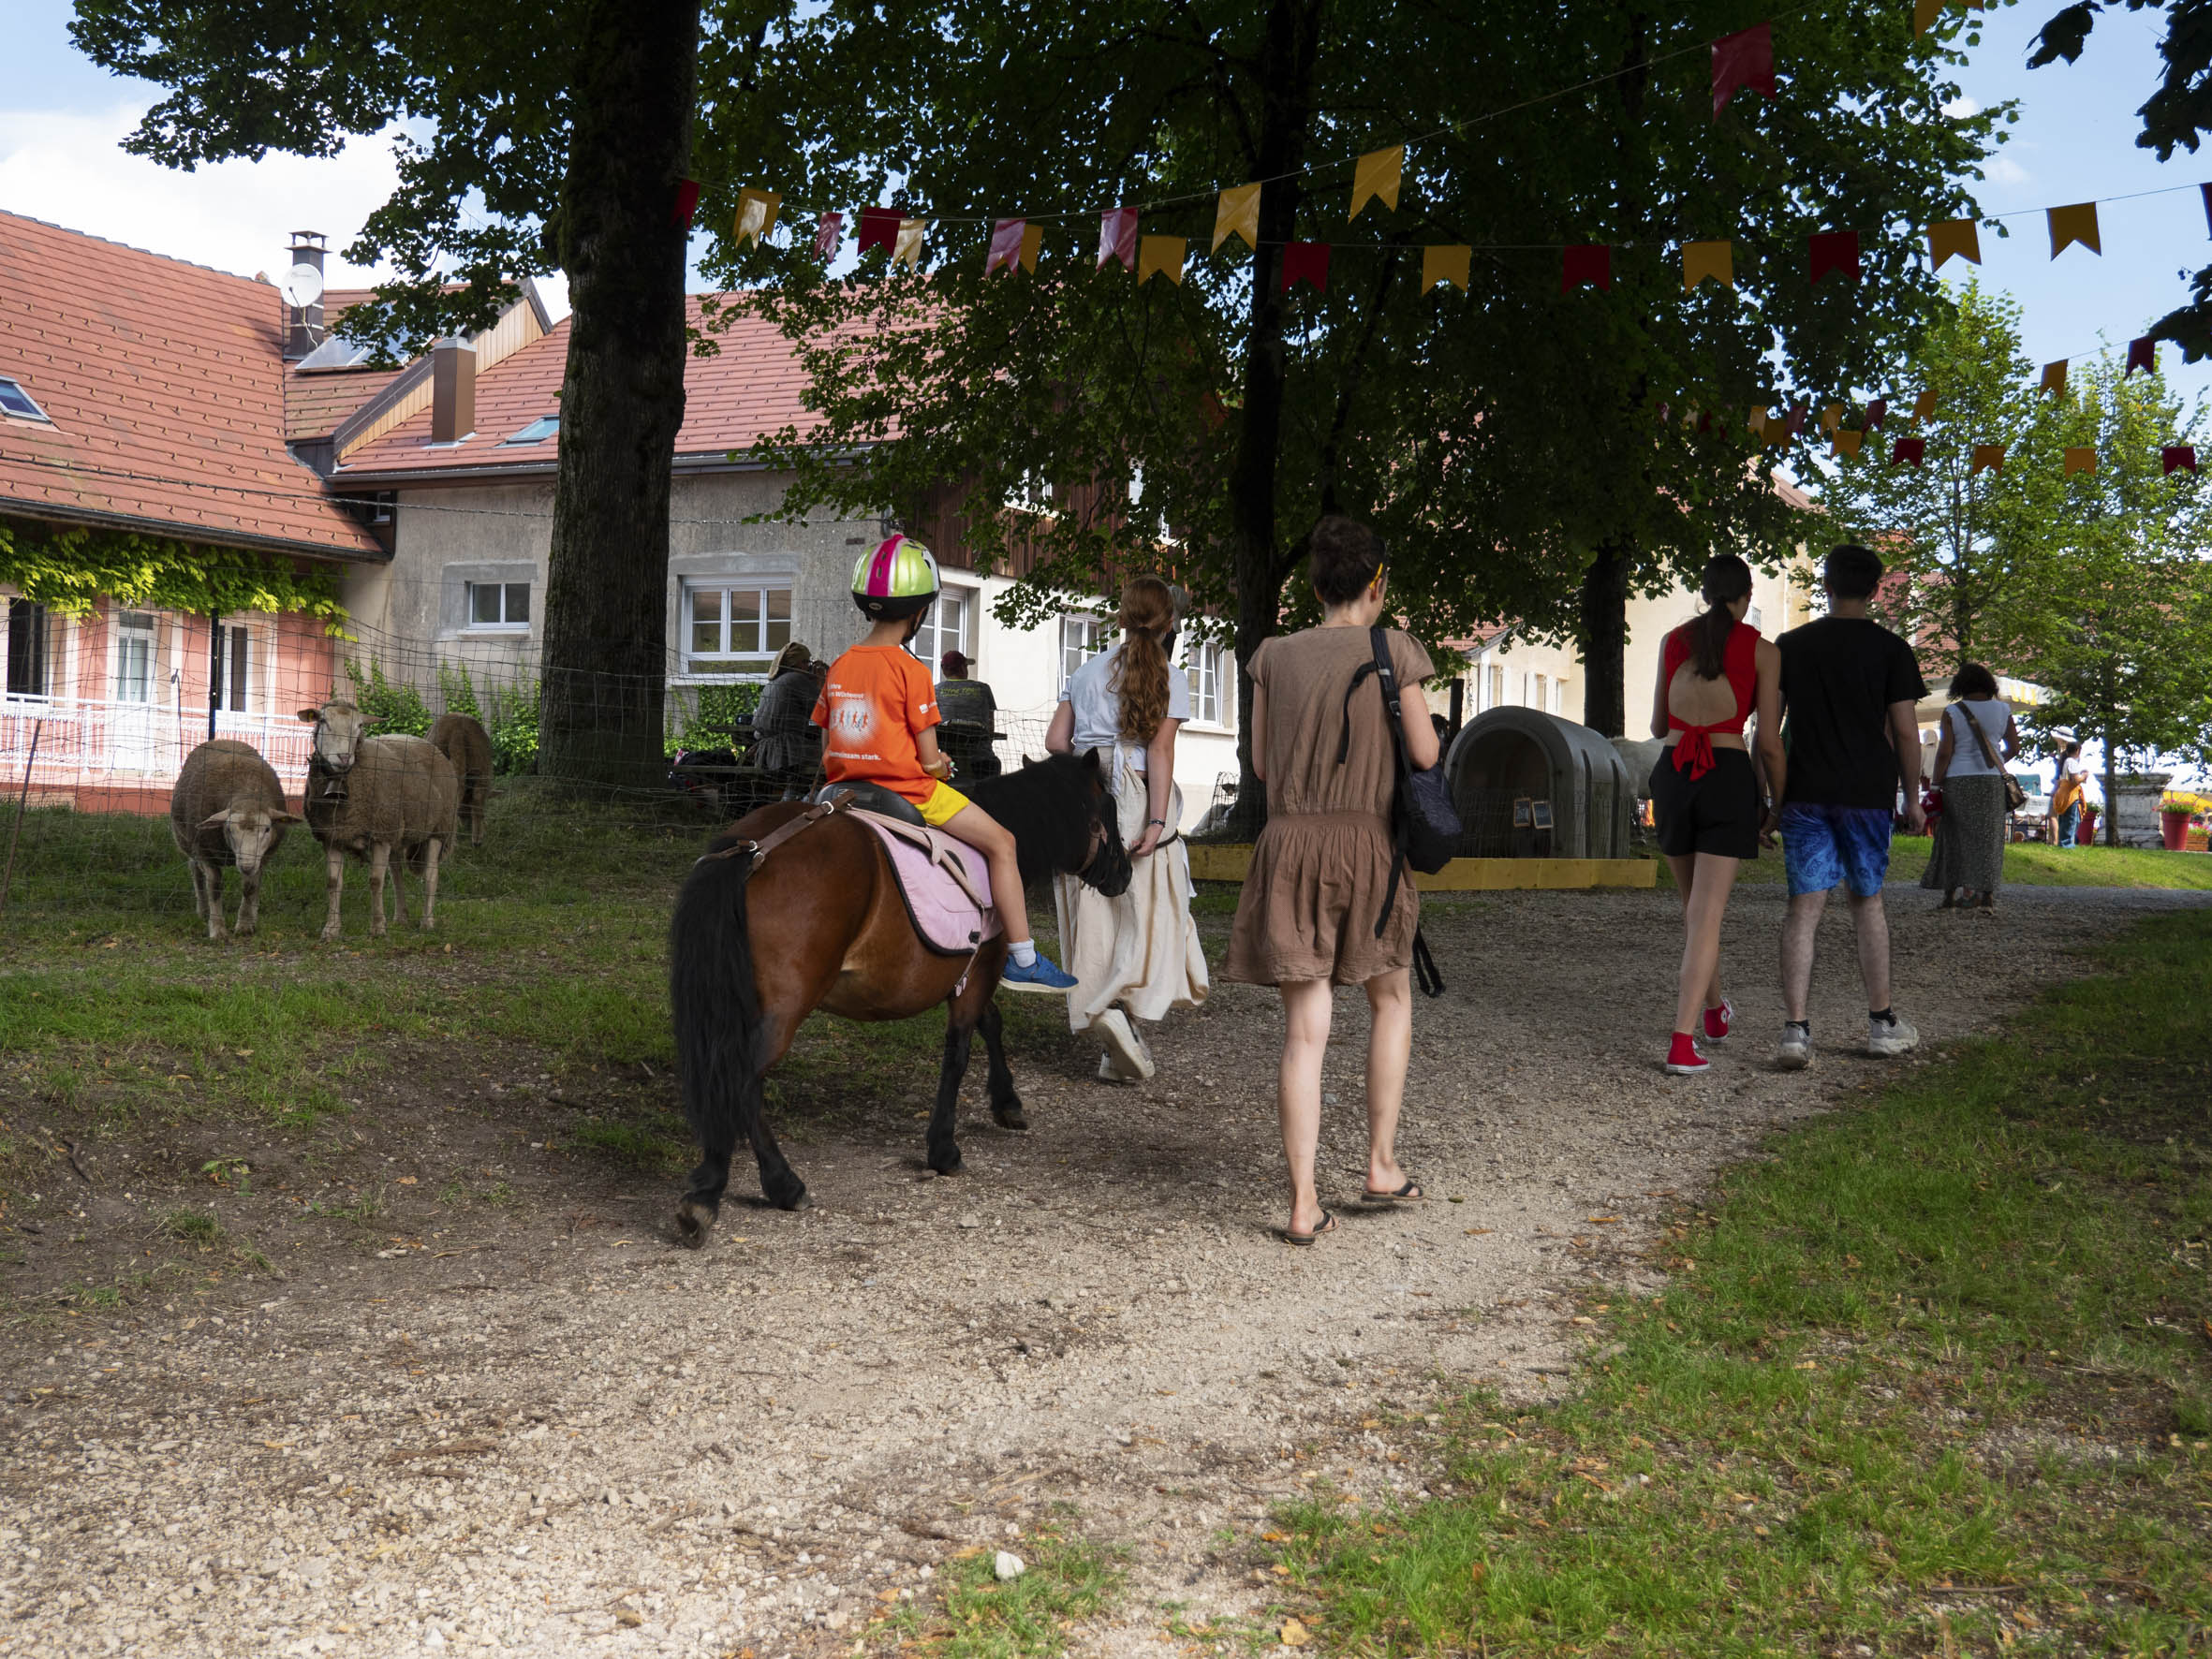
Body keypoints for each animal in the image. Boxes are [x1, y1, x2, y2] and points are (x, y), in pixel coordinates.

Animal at [166, 747, 298, 942]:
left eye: (267, 829)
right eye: (228, 829)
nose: (246, 866)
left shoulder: (261, 857)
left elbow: (250, 887)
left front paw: (245, 924)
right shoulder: (204, 851)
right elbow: (214, 886)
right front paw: (217, 929)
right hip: (188, 843)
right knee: (196, 872)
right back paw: (203, 910)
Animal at [296, 694, 460, 942]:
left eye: (359, 726)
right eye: (323, 721)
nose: (344, 757)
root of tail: (429, 744)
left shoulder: (380, 834)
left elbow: (375, 881)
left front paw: (377, 928)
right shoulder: (333, 836)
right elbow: (333, 883)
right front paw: (331, 929)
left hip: (437, 829)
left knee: (431, 876)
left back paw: (427, 922)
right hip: (397, 831)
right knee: (397, 874)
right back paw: (401, 918)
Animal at [663, 752, 1132, 1247]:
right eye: (1110, 810)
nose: (1124, 873)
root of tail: (754, 848)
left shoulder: (969, 972)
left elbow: (991, 1023)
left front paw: (1007, 1102)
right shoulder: (982, 965)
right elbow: (960, 1051)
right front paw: (944, 1149)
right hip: (783, 1006)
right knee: (740, 1078)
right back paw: (766, 1185)